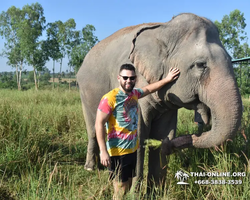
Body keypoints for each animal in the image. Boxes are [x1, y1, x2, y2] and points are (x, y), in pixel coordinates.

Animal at [76, 12, 242, 191]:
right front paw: (134, 192)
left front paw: (156, 191)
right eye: (200, 64)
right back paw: (91, 168)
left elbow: (164, 131)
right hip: (84, 93)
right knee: (93, 129)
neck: (164, 29)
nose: (170, 146)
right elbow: (139, 136)